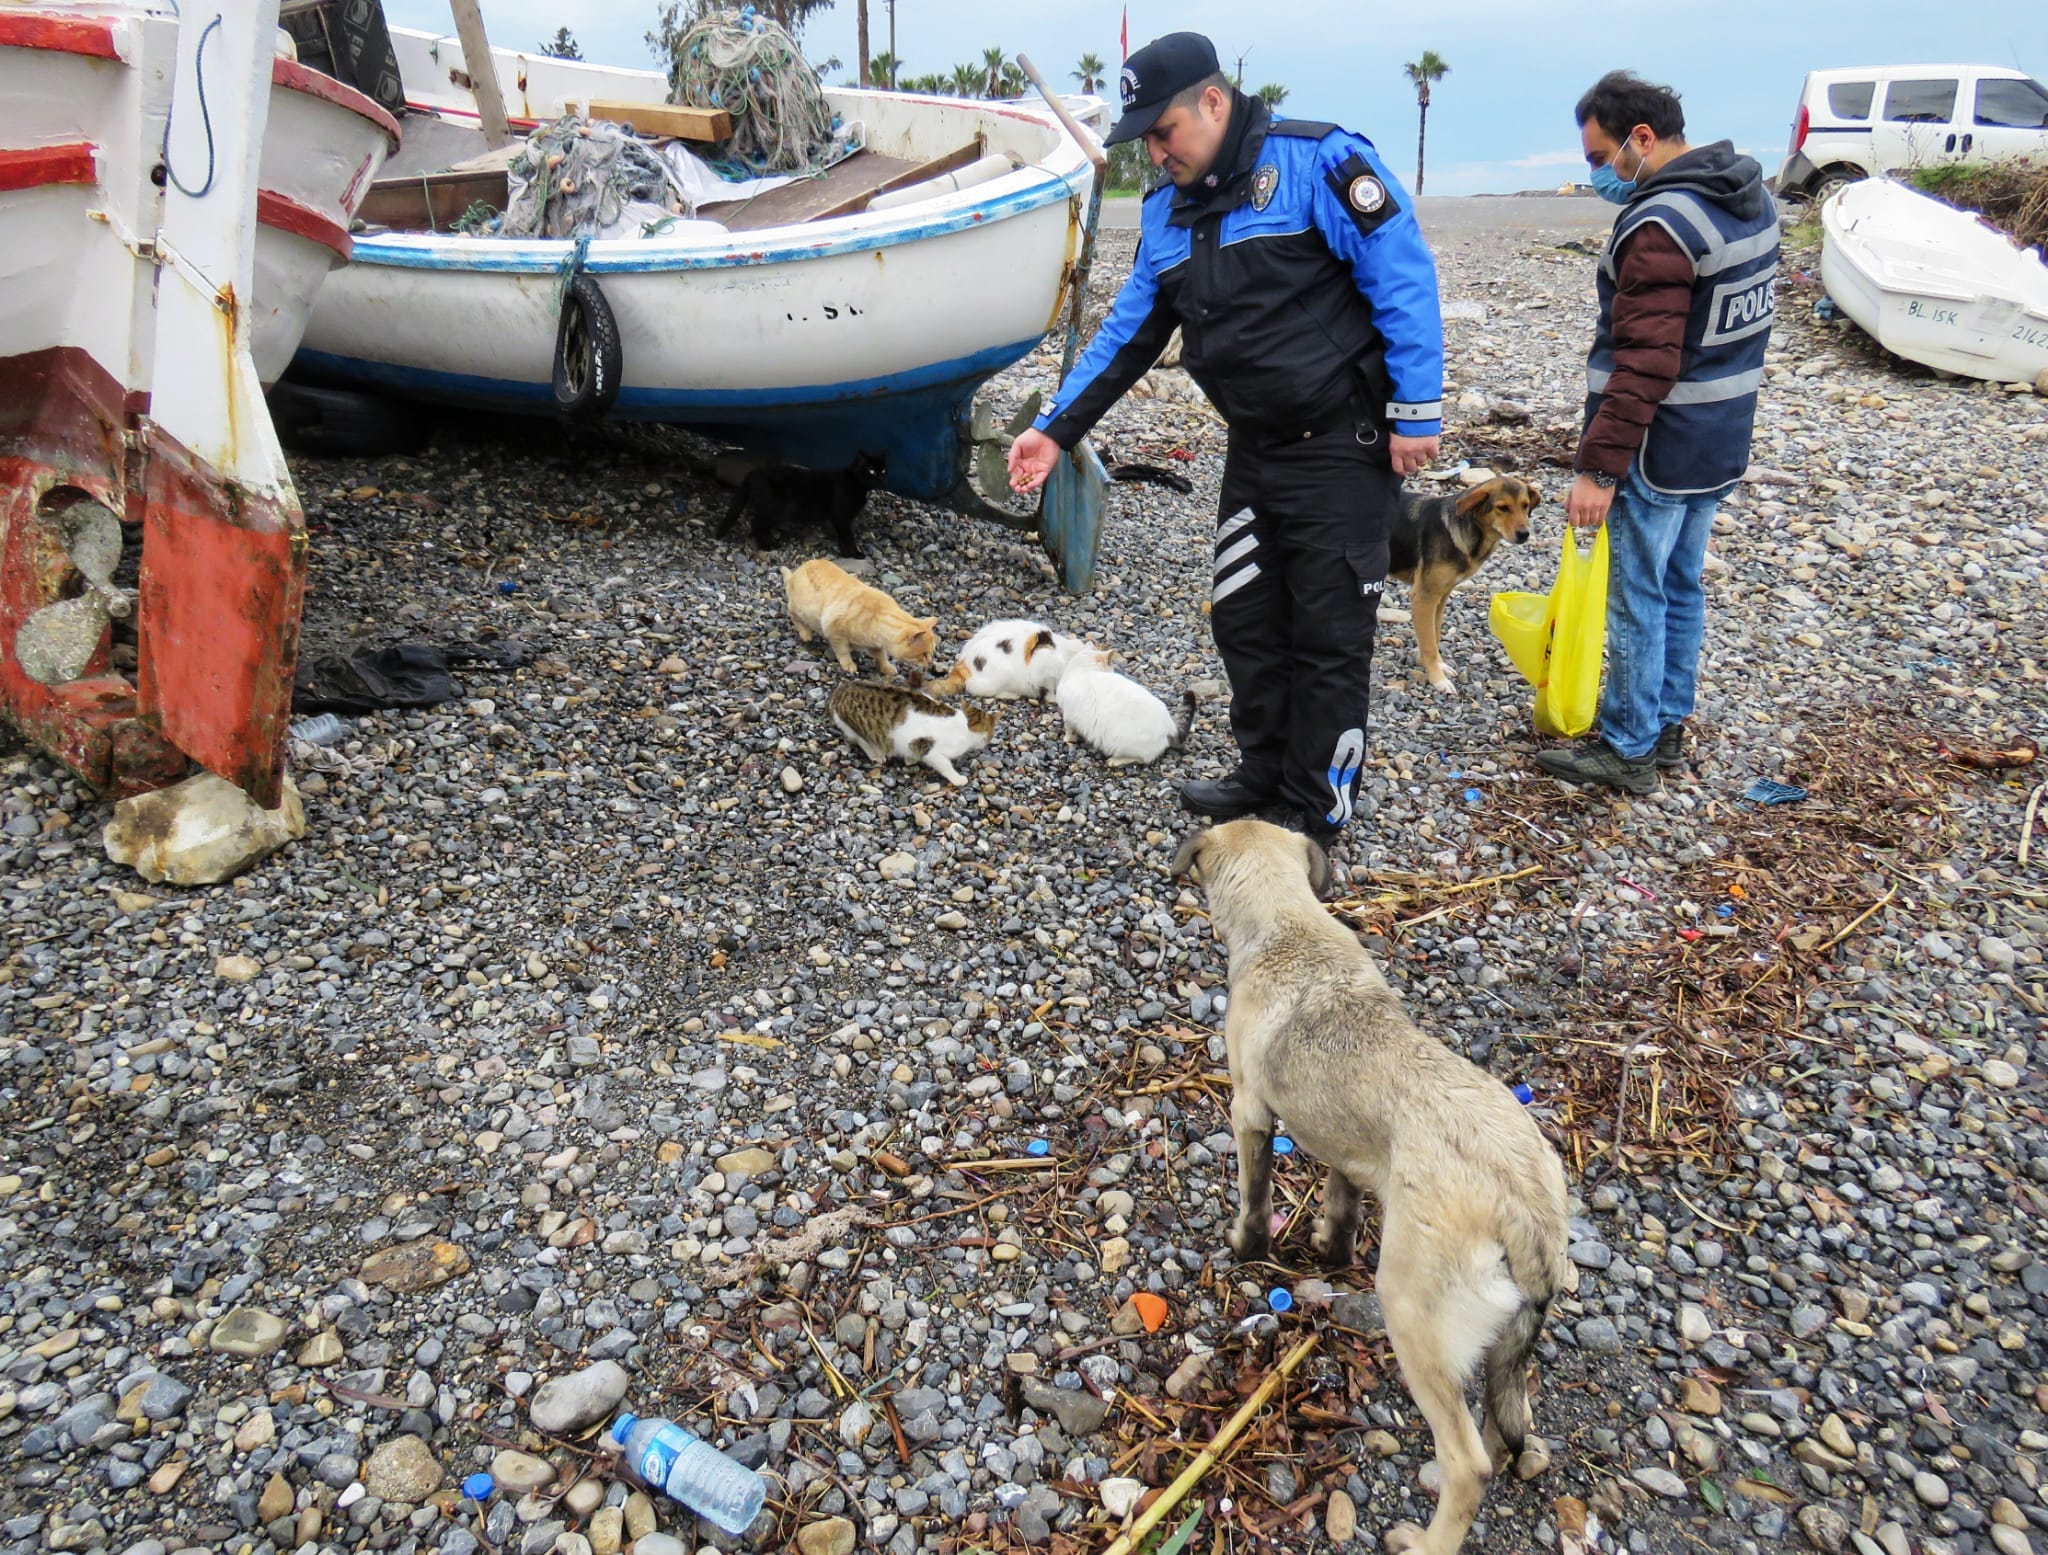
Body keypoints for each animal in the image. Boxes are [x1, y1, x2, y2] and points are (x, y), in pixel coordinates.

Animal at [716, 450, 884, 561]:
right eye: (870, 470)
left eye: (883, 470)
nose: (879, 478)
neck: (857, 485)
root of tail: (752, 473)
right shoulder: (841, 516)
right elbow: (849, 537)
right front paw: (856, 554)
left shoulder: (840, 520)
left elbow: (842, 536)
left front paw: (846, 554)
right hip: (773, 509)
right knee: (755, 523)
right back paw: (767, 546)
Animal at [782, 561, 942, 680]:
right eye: (925, 654)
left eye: (931, 653)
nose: (930, 663)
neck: (876, 618)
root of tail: (798, 570)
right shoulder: (836, 632)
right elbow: (843, 651)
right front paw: (848, 664)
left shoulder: (877, 645)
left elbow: (882, 657)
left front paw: (886, 667)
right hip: (800, 609)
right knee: (793, 614)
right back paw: (805, 634)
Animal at [1048, 643, 1196, 766]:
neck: (1082, 672)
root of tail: (1171, 727)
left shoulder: (1068, 715)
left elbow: (1068, 729)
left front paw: (1068, 739)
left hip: (1124, 744)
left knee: (1142, 759)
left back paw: (1115, 761)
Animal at [1171, 815, 1564, 1555]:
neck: (1288, 925)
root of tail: (1523, 1200)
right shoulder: (1349, 1154)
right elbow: (1342, 1208)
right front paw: (1329, 1251)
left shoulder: (1250, 1110)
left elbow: (1254, 1198)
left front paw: (1243, 1247)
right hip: (1503, 1343)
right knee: (1503, 1426)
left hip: (1413, 1314)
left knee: (1467, 1462)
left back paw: (1426, 1538)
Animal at [1392, 475, 1540, 692]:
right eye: (1502, 508)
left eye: (1525, 505)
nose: (1524, 534)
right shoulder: (1424, 597)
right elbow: (1428, 645)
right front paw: (1438, 679)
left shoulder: (1441, 596)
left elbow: (1435, 634)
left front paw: (1440, 666)